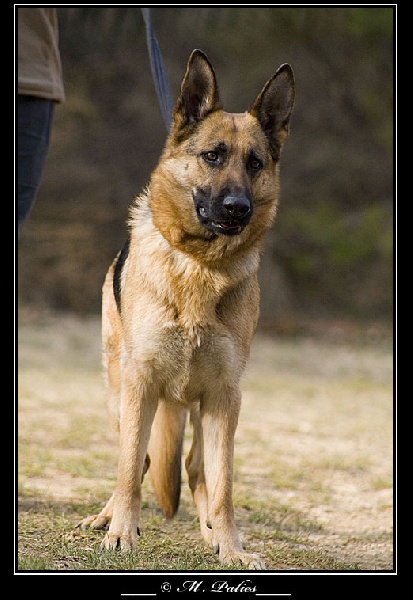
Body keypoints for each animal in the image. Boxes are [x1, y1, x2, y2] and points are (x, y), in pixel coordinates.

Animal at [79, 49, 294, 569]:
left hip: (202, 410)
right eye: (212, 155)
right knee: (137, 459)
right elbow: (131, 465)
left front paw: (231, 546)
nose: (237, 208)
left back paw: (211, 530)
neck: (199, 265)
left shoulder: (224, 397)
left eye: (255, 163)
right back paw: (109, 516)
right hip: (120, 393)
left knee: (197, 469)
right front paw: (121, 533)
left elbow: (223, 484)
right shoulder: (140, 386)